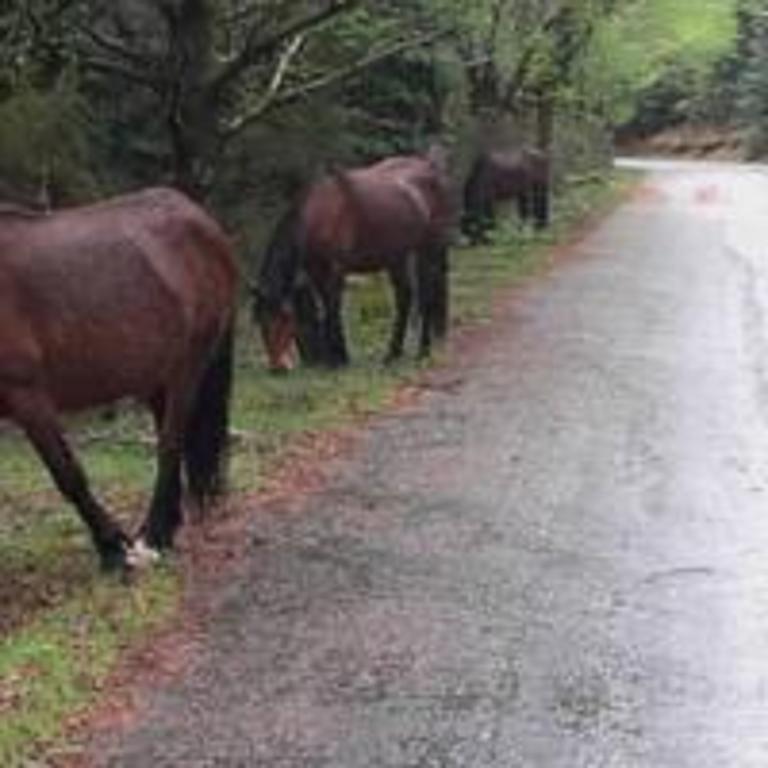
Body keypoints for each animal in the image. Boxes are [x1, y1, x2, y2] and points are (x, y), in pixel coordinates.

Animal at [0, 186, 237, 568]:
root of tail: (201, 219)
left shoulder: (27, 395)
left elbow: (69, 476)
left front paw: (112, 548)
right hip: (158, 377)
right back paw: (166, 528)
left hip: (188, 367)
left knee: (170, 445)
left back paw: (155, 535)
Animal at [252, 152, 456, 370]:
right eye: (261, 322)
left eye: (284, 318)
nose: (277, 368)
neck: (318, 215)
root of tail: (430, 166)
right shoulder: (315, 271)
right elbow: (324, 309)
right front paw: (333, 356)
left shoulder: (335, 270)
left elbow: (332, 309)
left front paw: (338, 358)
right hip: (396, 257)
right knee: (404, 297)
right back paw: (392, 354)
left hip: (429, 250)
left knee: (427, 297)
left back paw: (423, 351)